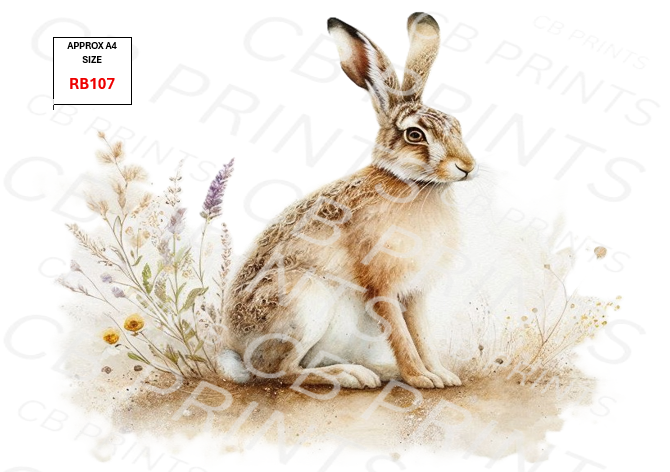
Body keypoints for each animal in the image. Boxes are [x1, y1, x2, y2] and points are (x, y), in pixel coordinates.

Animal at [219, 12, 476, 389]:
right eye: (415, 135)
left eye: (456, 125)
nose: (467, 167)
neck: (415, 185)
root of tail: (234, 349)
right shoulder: (383, 285)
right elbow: (401, 336)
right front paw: (420, 378)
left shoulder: (415, 293)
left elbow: (422, 334)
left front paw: (441, 375)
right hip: (305, 302)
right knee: (281, 371)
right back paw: (351, 375)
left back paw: (379, 371)